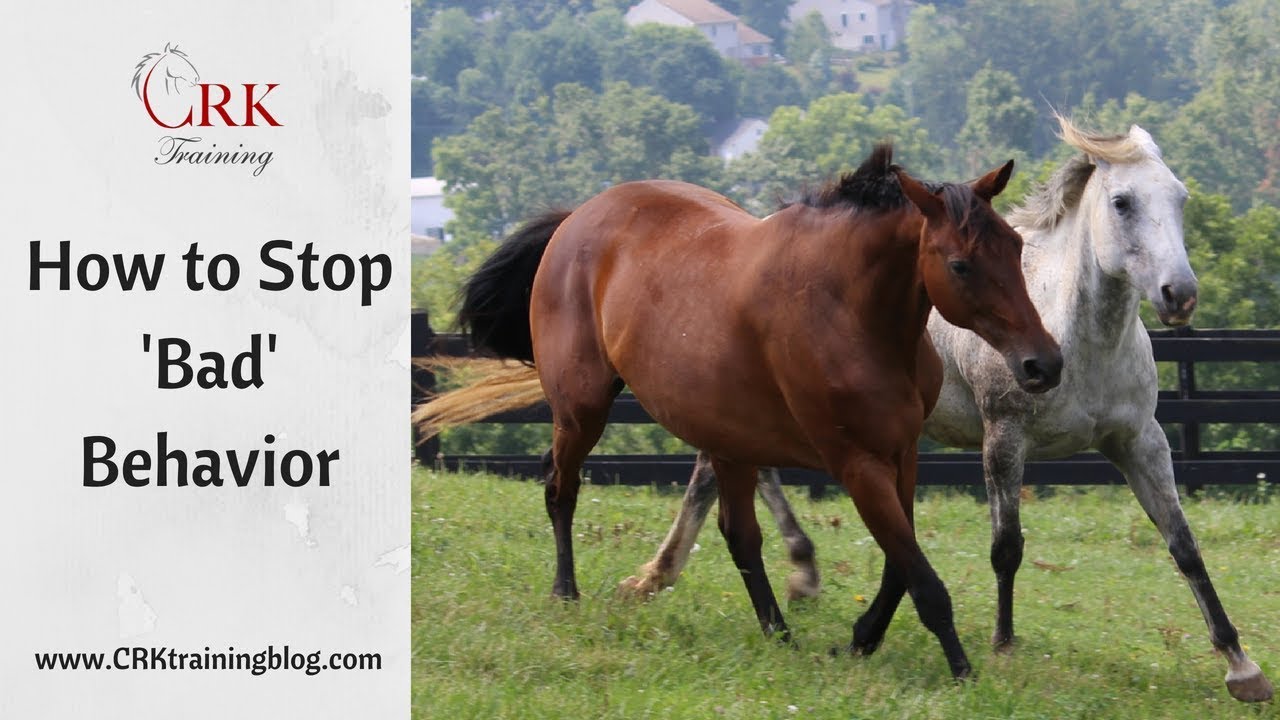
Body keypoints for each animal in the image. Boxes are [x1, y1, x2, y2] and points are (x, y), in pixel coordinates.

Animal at [421, 145, 1063, 679]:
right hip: (582, 410)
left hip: (727, 439)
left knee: (739, 535)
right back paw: (566, 593)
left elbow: (896, 569)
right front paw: (961, 669)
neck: (849, 311)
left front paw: (860, 639)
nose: (1044, 364)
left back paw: (779, 632)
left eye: (1016, 247)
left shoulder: (901, 455)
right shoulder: (856, 463)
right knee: (561, 487)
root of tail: (577, 217)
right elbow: (921, 578)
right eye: (960, 265)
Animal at [618, 117, 1273, 702]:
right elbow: (1007, 548)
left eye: (1181, 197)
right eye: (1122, 202)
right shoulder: (1003, 438)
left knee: (716, 471)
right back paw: (740, 572)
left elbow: (1183, 544)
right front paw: (1002, 648)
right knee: (723, 474)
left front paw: (1242, 668)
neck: (1076, 336)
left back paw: (670, 575)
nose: (1179, 295)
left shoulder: (1140, 441)